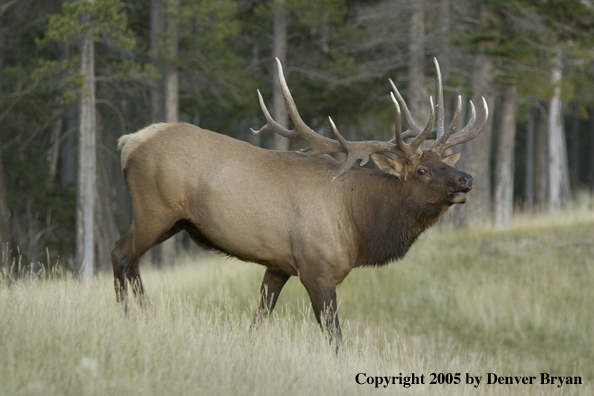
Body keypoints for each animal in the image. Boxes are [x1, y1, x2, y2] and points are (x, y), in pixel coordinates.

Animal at [111, 58, 486, 340]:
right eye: (422, 170)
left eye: (444, 161)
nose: (467, 179)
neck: (357, 224)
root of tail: (128, 141)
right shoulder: (316, 268)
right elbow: (334, 334)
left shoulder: (278, 264)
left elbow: (260, 317)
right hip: (153, 209)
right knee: (120, 254)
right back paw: (126, 318)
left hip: (172, 221)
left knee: (133, 262)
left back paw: (146, 315)